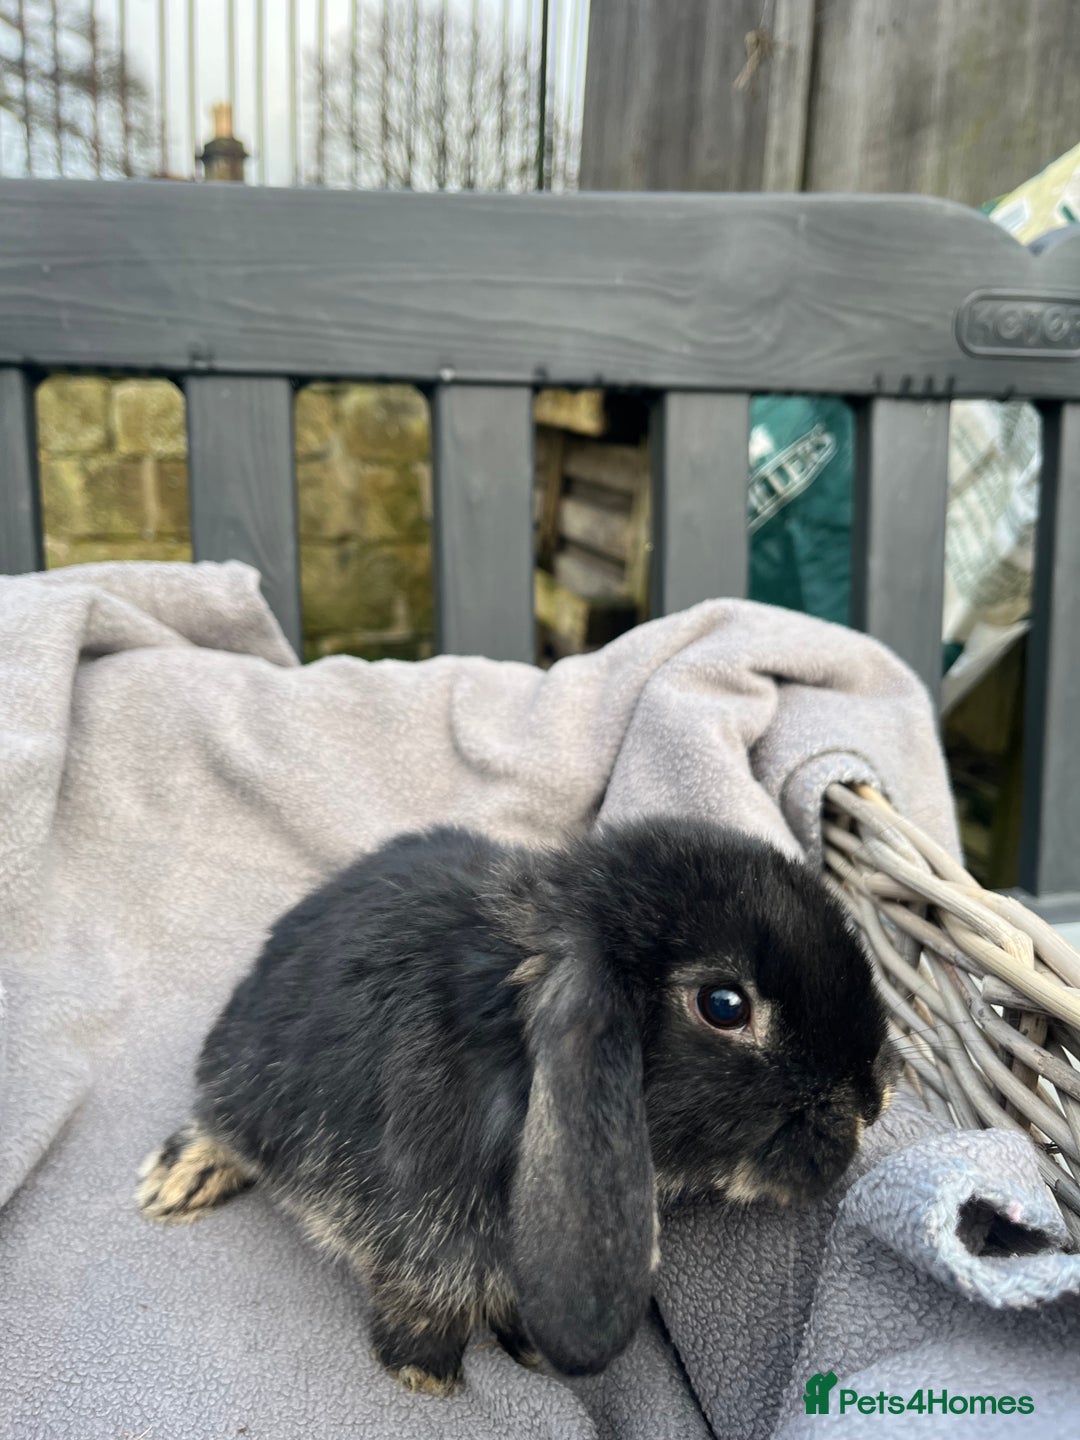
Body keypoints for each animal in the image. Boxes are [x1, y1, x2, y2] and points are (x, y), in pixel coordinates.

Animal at [137, 817, 896, 1395]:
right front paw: (425, 1373)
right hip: (244, 1084)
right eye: (725, 1006)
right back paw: (175, 1182)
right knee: (220, 1125)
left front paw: (526, 1347)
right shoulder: (419, 1223)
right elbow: (422, 1289)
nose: (873, 1100)